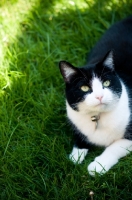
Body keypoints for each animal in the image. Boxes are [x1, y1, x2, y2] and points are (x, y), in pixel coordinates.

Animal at [58, 15, 132, 175]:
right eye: (85, 88)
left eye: (106, 83)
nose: (99, 96)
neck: (97, 117)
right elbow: (80, 139)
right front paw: (75, 156)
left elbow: (115, 146)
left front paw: (98, 166)